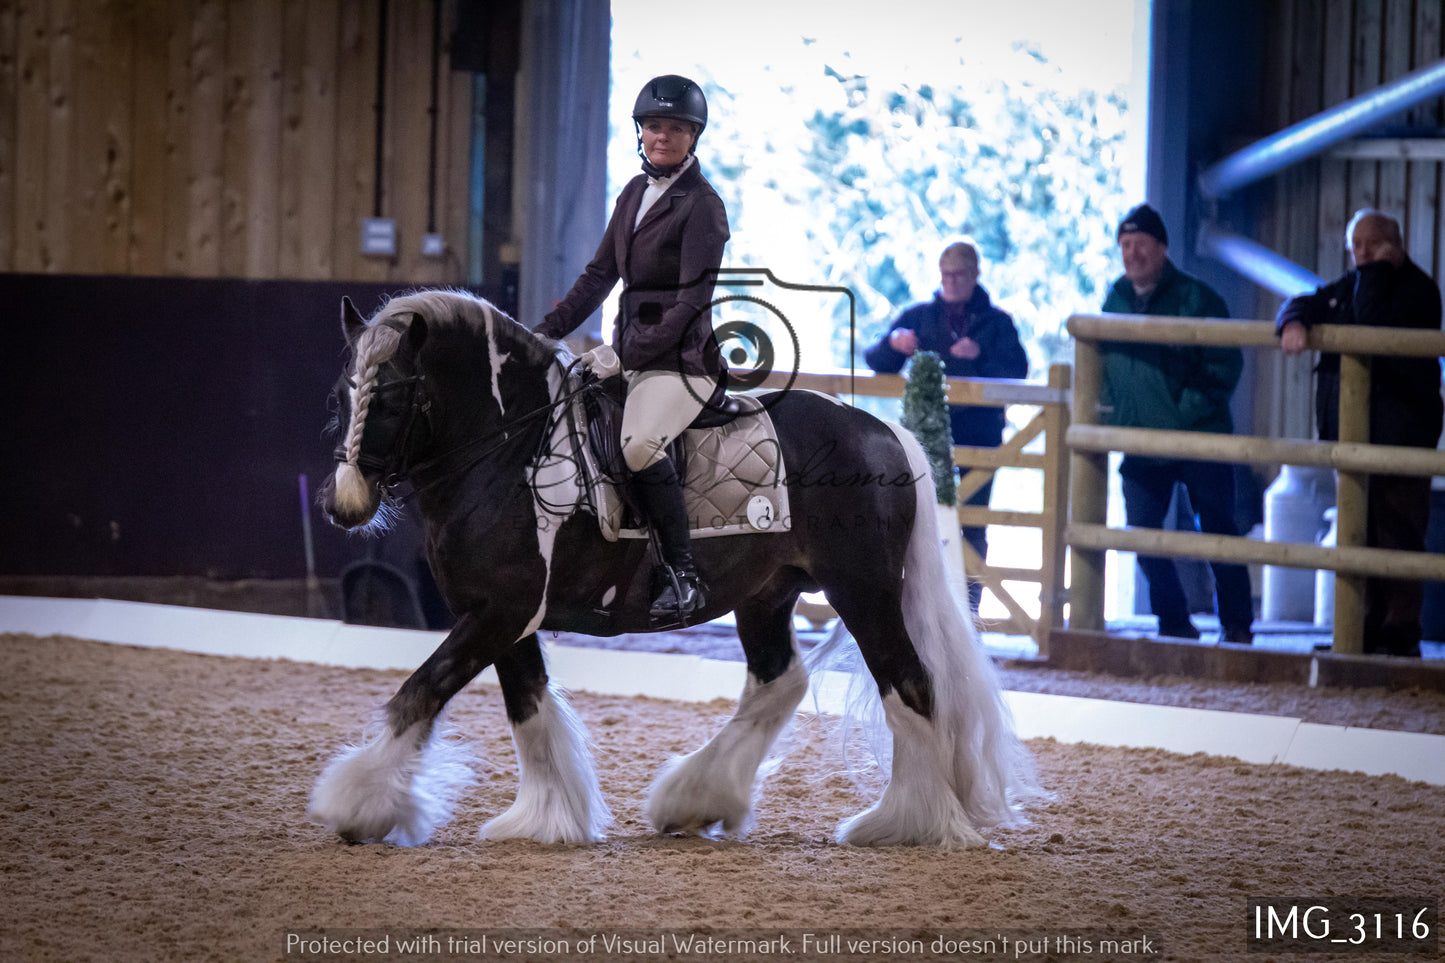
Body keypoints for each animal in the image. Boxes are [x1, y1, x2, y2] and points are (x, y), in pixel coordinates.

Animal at [310, 289, 1034, 844]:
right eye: (343, 394)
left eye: (394, 397)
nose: (345, 505)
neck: (510, 448)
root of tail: (879, 431)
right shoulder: (501, 615)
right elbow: (528, 707)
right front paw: (547, 818)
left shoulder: (502, 610)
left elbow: (422, 690)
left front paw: (360, 803)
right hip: (766, 594)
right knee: (779, 681)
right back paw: (697, 798)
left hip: (864, 591)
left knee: (908, 682)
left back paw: (907, 821)